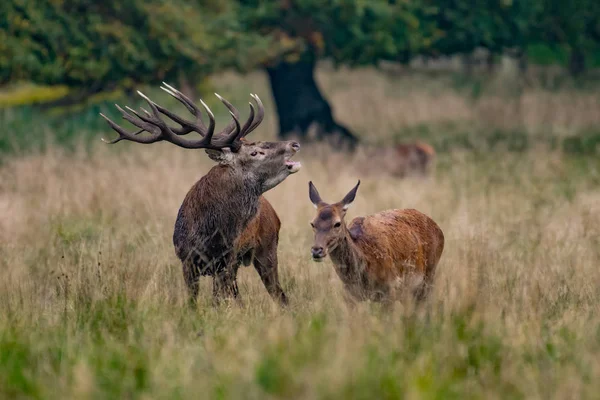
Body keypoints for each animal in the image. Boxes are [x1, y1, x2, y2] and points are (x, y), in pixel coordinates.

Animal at [101, 83, 304, 304]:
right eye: (255, 152)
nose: (294, 143)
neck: (210, 232)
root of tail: (274, 213)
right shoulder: (186, 259)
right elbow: (193, 302)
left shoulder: (227, 260)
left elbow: (218, 301)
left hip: (267, 248)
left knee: (279, 295)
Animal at [308, 181, 442, 304]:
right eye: (312, 223)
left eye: (337, 223)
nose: (317, 250)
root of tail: (438, 229)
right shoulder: (351, 296)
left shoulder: (390, 288)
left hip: (430, 273)